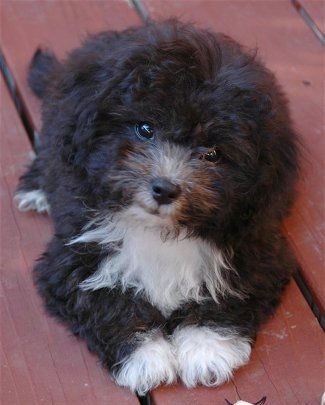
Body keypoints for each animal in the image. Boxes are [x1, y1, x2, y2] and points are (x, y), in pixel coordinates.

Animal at [16, 19, 298, 394]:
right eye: (145, 129)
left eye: (212, 153)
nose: (164, 188)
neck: (159, 229)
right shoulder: (75, 258)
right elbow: (107, 301)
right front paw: (146, 358)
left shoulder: (256, 251)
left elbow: (225, 297)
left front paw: (206, 350)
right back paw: (36, 188)